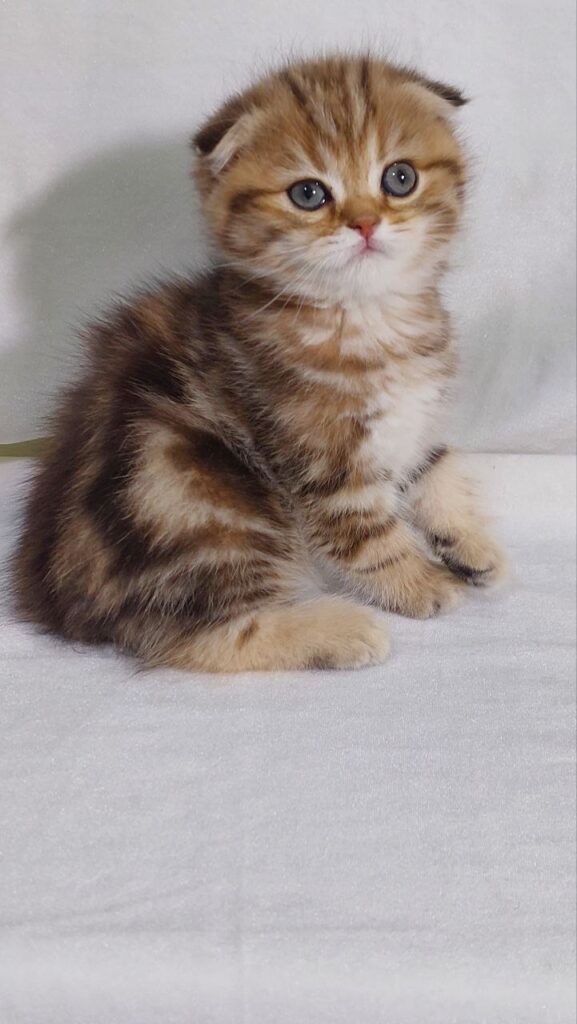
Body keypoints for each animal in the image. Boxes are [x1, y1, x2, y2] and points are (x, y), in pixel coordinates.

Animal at [11, 56, 508, 671]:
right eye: (309, 193)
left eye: (399, 179)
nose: (366, 224)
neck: (365, 316)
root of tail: (56, 600)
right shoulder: (316, 458)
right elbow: (367, 534)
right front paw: (422, 584)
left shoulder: (413, 418)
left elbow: (437, 463)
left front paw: (471, 543)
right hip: (197, 504)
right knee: (207, 638)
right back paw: (342, 629)